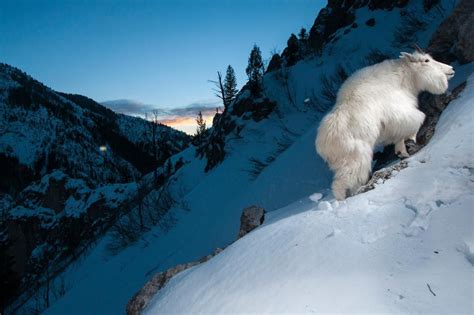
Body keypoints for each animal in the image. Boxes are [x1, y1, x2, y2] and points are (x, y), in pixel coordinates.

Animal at [316, 50, 454, 201]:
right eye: (426, 61)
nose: (451, 69)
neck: (404, 79)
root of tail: (322, 147)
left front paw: (402, 152)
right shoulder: (399, 114)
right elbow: (417, 121)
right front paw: (410, 142)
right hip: (355, 159)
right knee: (341, 183)